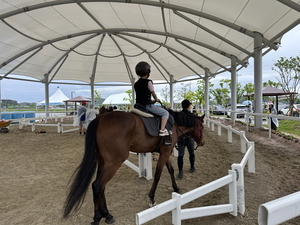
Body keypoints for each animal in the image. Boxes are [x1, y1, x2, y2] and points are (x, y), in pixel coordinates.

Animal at [62, 110, 205, 224]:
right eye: (202, 127)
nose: (203, 142)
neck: (173, 125)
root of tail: (100, 118)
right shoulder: (165, 153)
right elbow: (158, 175)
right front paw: (151, 198)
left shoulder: (165, 152)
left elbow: (171, 170)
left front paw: (176, 187)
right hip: (113, 163)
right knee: (98, 185)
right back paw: (100, 216)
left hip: (103, 162)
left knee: (99, 186)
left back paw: (105, 215)